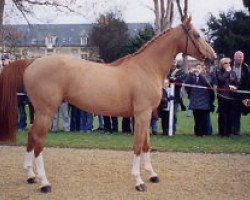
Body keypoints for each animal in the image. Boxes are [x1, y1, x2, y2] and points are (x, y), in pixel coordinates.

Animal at [0, 18, 215, 193]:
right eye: (196, 35)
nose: (212, 57)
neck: (146, 68)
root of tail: (31, 63)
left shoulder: (146, 115)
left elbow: (146, 144)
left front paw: (152, 174)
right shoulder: (142, 114)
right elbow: (138, 145)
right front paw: (138, 181)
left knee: (31, 136)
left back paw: (30, 176)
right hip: (46, 112)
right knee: (37, 140)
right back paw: (44, 183)